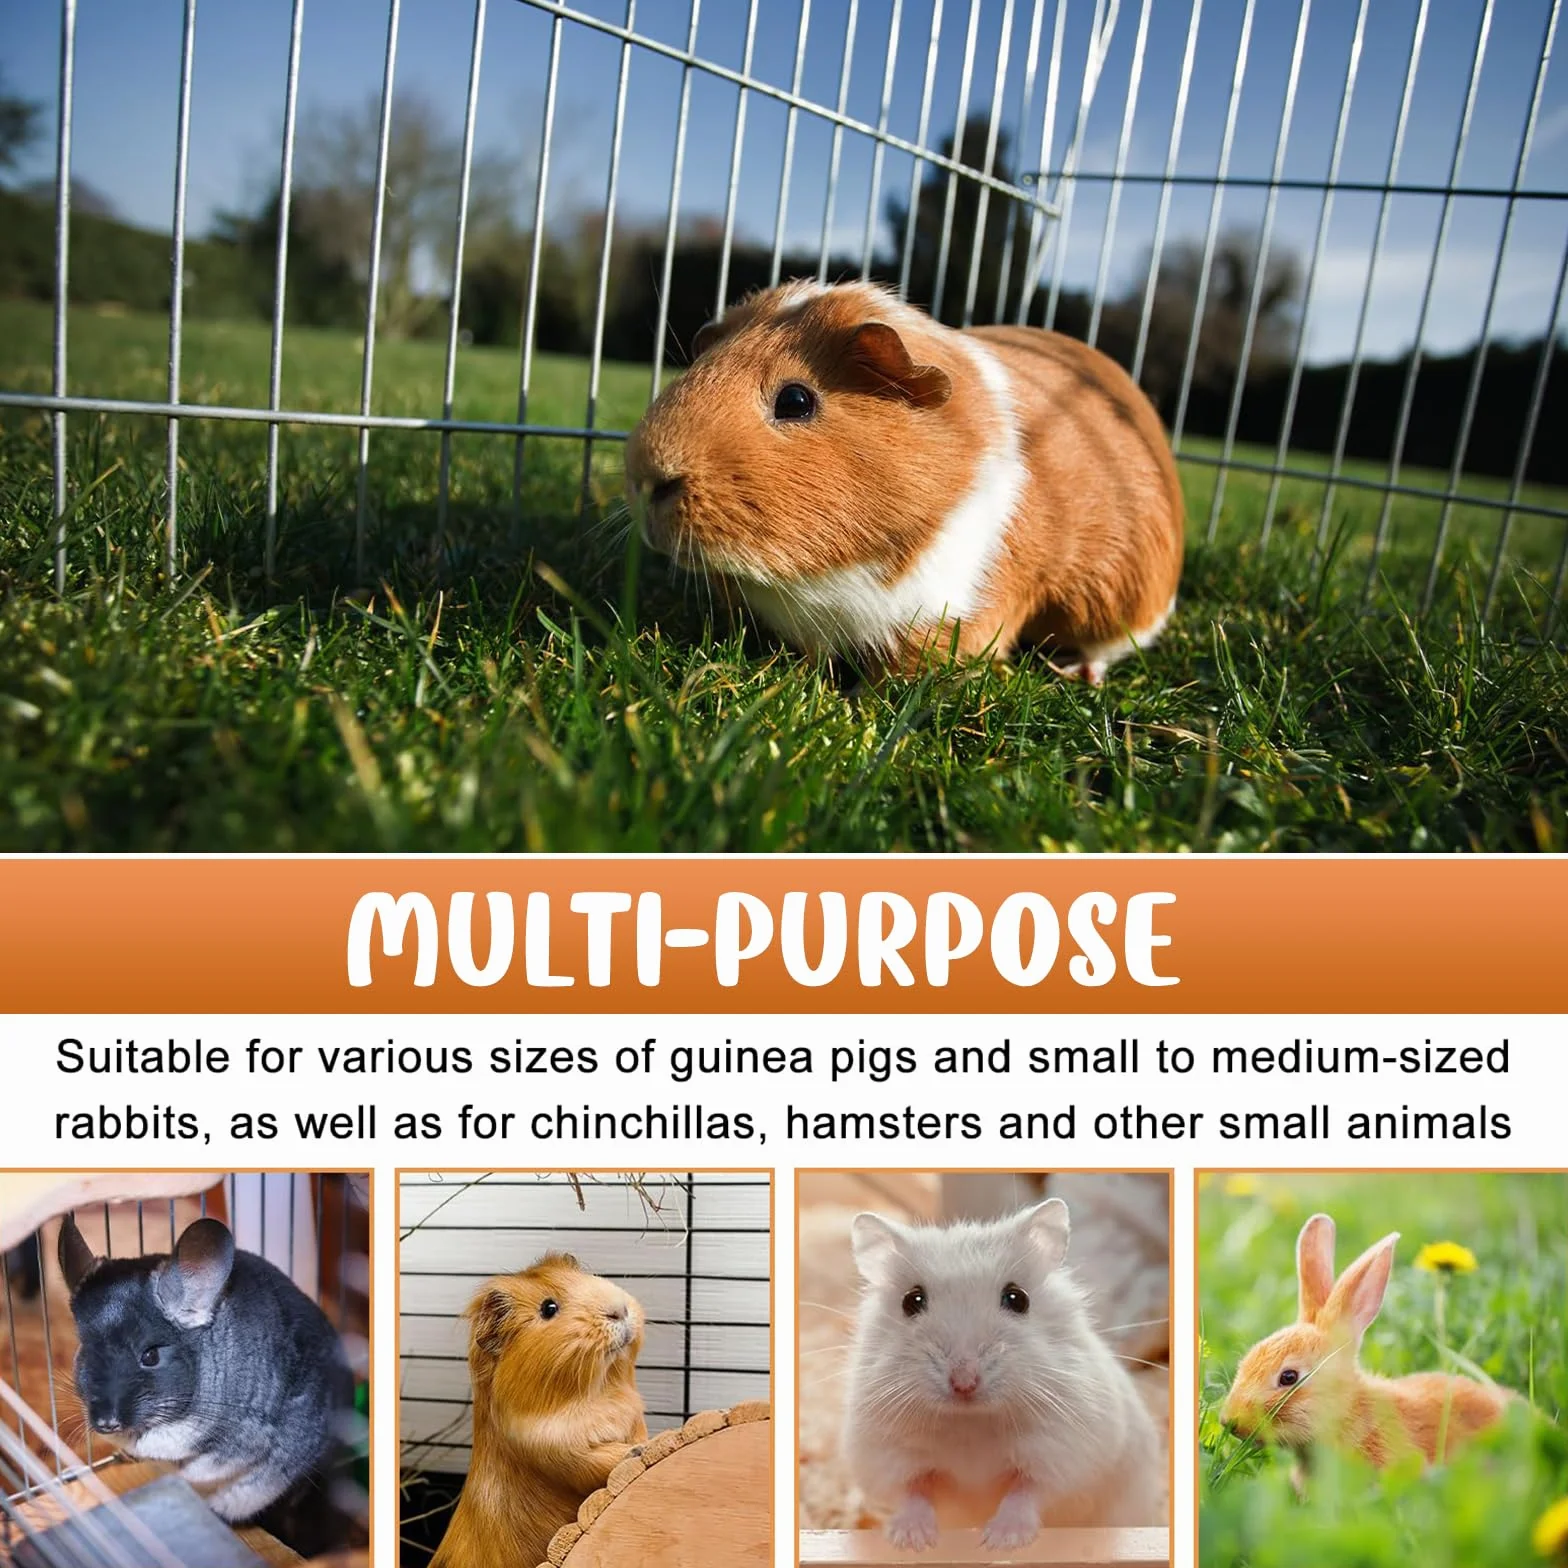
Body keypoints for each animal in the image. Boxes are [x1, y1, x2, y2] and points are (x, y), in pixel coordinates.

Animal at [431, 1253, 647, 1568]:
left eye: (590, 1277)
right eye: (548, 1308)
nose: (619, 1309)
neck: (600, 1391)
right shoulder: (554, 1448)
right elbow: (602, 1460)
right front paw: (636, 1452)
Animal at [624, 280, 1184, 681]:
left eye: (796, 400)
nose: (648, 478)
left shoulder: (944, 616)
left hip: (1124, 602)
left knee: (1112, 646)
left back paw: (1074, 673)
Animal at [844, 1198, 1161, 1551]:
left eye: (1017, 1298)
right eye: (911, 1301)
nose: (964, 1382)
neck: (971, 1422)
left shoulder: (1063, 1451)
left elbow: (1027, 1491)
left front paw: (1001, 1541)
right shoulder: (887, 1454)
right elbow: (913, 1491)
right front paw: (912, 1541)